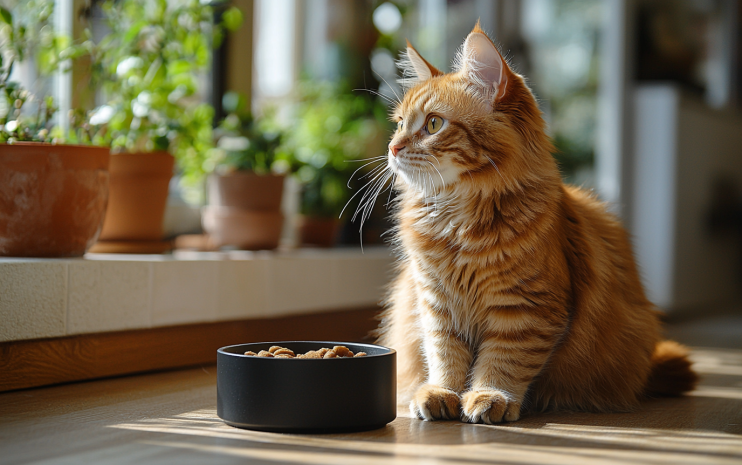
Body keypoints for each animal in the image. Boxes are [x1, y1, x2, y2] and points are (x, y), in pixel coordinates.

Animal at [378, 25, 696, 424]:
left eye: (433, 124)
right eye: (399, 125)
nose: (392, 148)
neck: (458, 219)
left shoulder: (526, 307)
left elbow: (503, 361)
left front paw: (489, 396)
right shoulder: (435, 304)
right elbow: (444, 356)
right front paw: (441, 393)